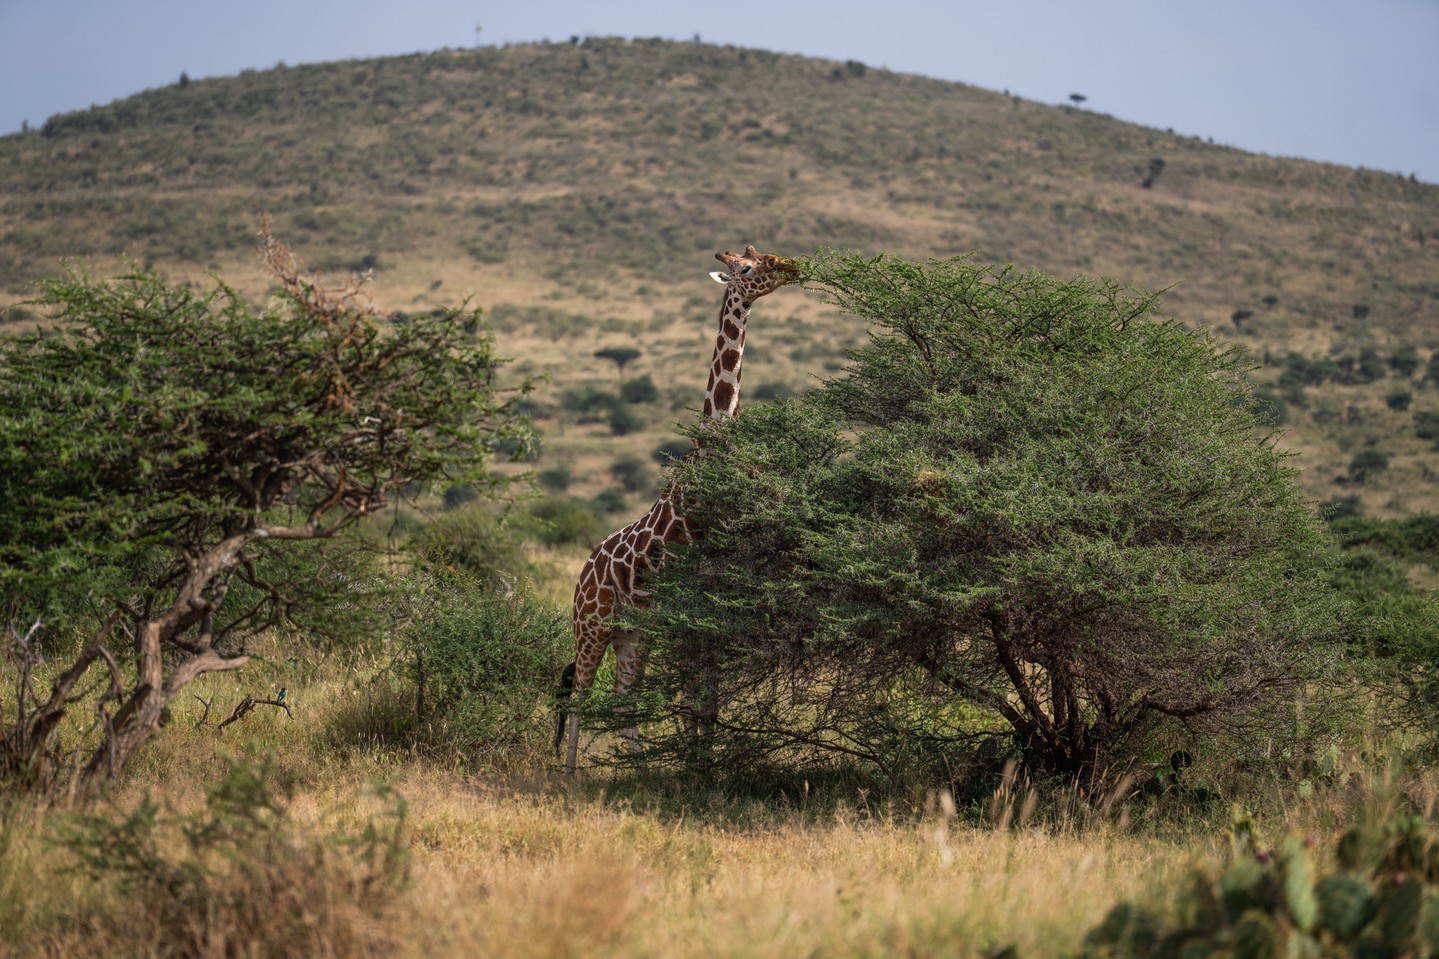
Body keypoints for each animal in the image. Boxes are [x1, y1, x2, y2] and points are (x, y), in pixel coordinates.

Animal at [558, 245, 797, 773]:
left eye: (763, 254)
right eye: (746, 268)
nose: (791, 266)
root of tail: (582, 574)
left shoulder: (709, 608)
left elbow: (706, 698)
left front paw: (702, 767)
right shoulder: (691, 604)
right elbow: (694, 699)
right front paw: (696, 767)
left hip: (634, 633)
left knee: (623, 698)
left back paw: (643, 772)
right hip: (593, 625)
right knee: (580, 693)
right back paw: (568, 774)